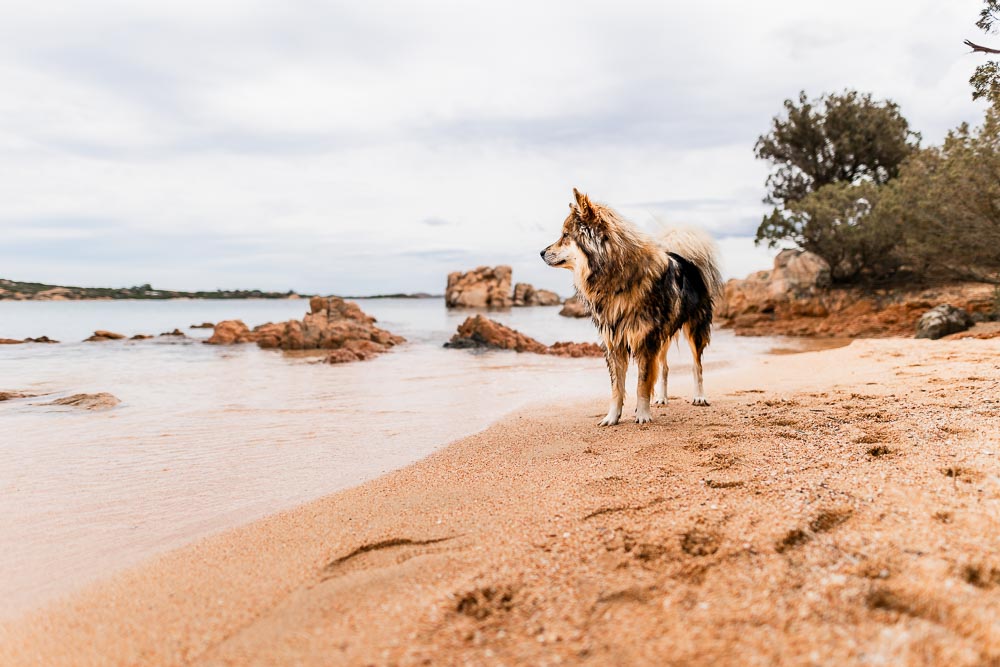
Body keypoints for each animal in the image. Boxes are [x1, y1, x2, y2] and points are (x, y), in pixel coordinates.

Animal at [544, 188, 724, 428]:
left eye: (565, 235)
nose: (541, 252)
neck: (615, 277)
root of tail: (689, 261)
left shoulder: (645, 339)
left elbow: (642, 383)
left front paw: (643, 415)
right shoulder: (615, 342)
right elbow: (617, 387)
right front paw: (612, 417)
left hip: (694, 328)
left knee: (697, 366)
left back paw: (699, 396)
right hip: (664, 334)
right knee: (665, 367)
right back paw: (662, 398)